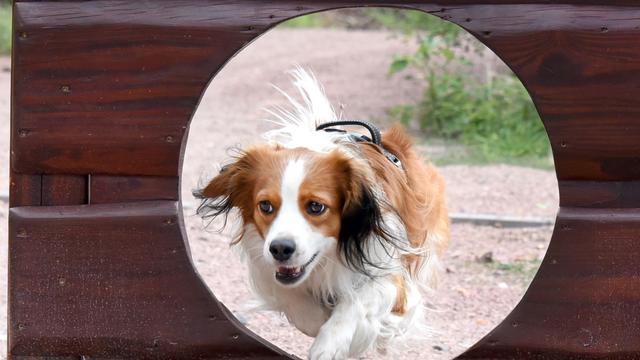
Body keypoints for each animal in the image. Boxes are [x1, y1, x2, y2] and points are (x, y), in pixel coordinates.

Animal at [195, 69, 450, 358]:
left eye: (316, 207)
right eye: (265, 206)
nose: (280, 249)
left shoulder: (390, 276)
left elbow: (355, 301)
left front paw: (330, 343)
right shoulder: (275, 276)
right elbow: (296, 302)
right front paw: (322, 320)